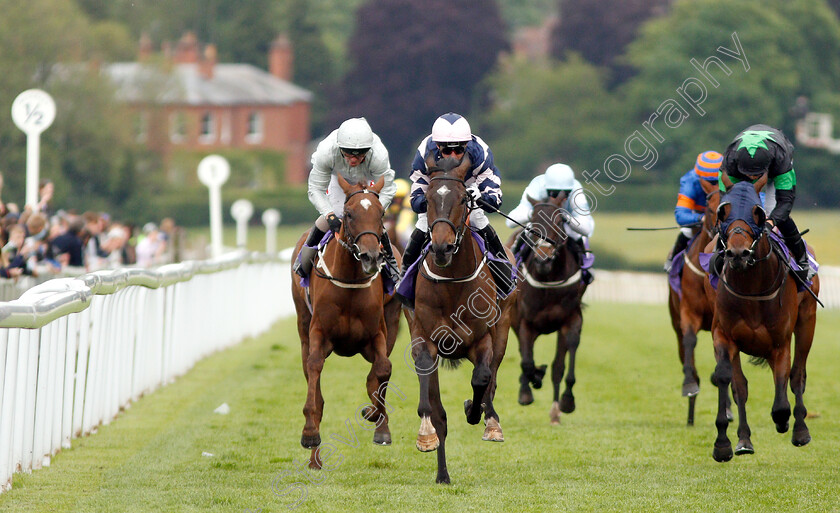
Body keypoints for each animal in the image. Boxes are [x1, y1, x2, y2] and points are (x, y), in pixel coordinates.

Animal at [292, 174, 404, 466]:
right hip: (302, 327)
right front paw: (309, 434)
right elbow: (315, 373)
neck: (350, 279)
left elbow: (383, 370)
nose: (371, 256)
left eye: (381, 213)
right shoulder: (318, 333)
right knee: (313, 378)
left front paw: (377, 421)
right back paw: (315, 459)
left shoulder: (377, 333)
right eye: (350, 214)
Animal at [408, 154, 520, 482]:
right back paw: (442, 473)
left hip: (503, 332)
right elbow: (432, 404)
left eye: (461, 199)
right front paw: (426, 435)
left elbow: (482, 379)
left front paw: (477, 411)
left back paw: (489, 419)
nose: (442, 247)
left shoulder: (482, 340)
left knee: (491, 380)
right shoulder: (423, 336)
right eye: (429, 198)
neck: (451, 283)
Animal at [508, 194, 588, 422]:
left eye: (560, 221)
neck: (548, 280)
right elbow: (526, 361)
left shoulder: (571, 319)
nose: (543, 258)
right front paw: (528, 388)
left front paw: (566, 402)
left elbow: (563, 363)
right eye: (533, 221)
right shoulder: (524, 321)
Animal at [668, 178, 732, 426]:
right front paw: (690, 384)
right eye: (709, 206)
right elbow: (689, 341)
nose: (718, 232)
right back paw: (690, 414)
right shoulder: (688, 312)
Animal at [708, 174, 820, 462]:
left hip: (807, 323)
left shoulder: (780, 343)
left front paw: (784, 421)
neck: (751, 287)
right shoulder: (724, 335)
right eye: (723, 211)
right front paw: (726, 443)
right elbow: (730, 382)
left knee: (797, 375)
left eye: (757, 212)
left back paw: (800, 430)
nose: (738, 253)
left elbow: (782, 397)